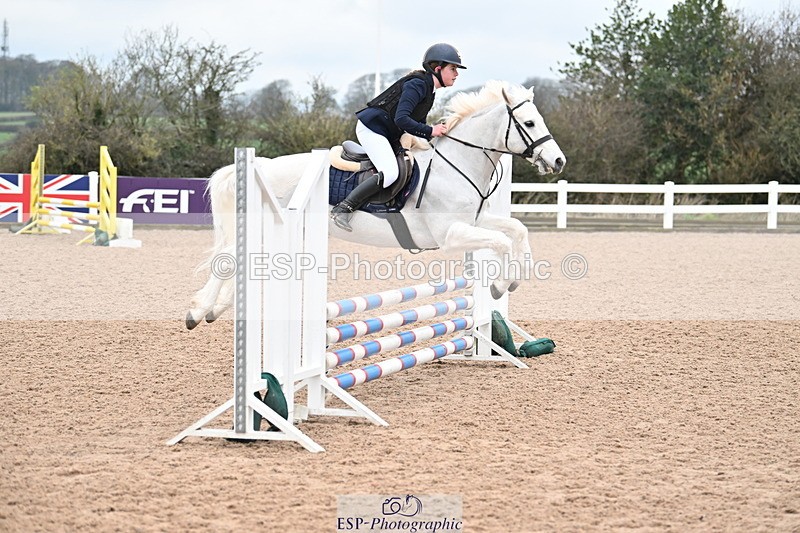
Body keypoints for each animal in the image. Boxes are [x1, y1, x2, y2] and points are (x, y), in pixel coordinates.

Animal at [186, 80, 566, 330]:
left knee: (238, 261)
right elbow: (501, 241)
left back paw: (215, 309)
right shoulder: (451, 235)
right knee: (229, 260)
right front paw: (502, 283)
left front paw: (513, 280)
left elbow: (517, 229)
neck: (456, 163)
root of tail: (260, 166)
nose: (558, 161)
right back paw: (198, 311)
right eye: (529, 123)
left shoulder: (475, 221)